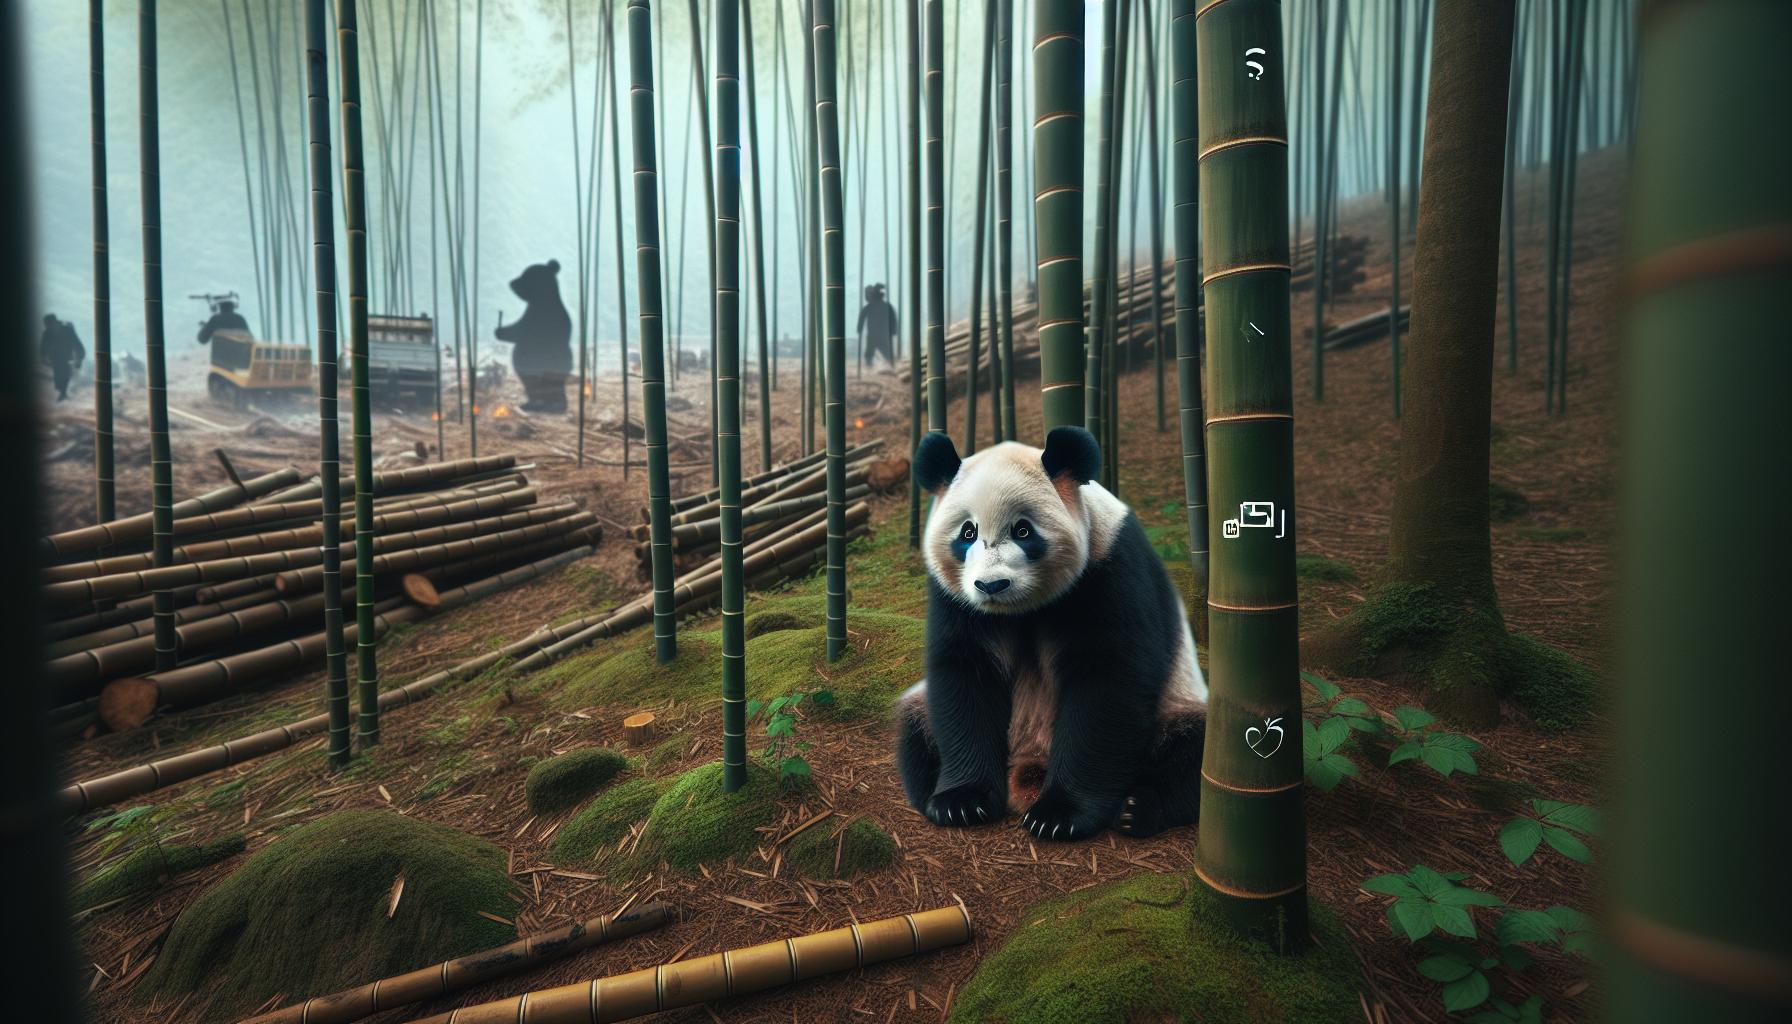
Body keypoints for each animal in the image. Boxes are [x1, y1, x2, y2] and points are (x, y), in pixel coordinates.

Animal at [895, 426, 1208, 841]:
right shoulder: (955, 599)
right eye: (968, 532)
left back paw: (1138, 807)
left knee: (1198, 750)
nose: (991, 585)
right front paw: (961, 801)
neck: (1020, 610)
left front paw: (1060, 814)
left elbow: (1107, 681)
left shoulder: (1108, 568)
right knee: (915, 726)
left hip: (1177, 703)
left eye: (1023, 530)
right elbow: (965, 674)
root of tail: (1028, 770)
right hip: (925, 709)